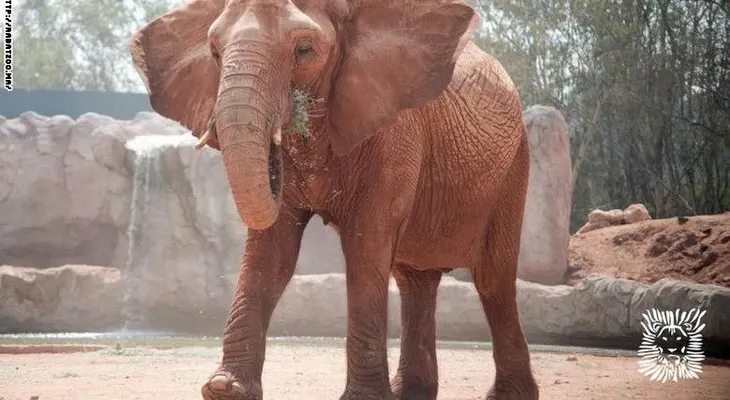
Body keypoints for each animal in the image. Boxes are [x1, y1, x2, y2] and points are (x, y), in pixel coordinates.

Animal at [129, 0, 540, 399]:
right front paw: (225, 389)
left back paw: (509, 395)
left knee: (493, 279)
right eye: (215, 52)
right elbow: (271, 253)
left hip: (515, 165)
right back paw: (412, 391)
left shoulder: (394, 130)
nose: (274, 157)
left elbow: (365, 246)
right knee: (415, 280)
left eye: (304, 50)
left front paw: (363, 398)